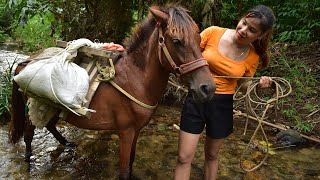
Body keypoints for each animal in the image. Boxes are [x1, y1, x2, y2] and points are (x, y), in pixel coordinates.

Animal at [9, 3, 215, 179]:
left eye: (199, 39)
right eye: (177, 41)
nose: (208, 88)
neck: (136, 78)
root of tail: (26, 61)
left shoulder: (136, 130)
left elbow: (131, 162)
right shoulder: (126, 132)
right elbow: (123, 170)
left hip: (51, 106)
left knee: (51, 125)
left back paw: (66, 143)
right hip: (34, 107)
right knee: (29, 136)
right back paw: (29, 163)